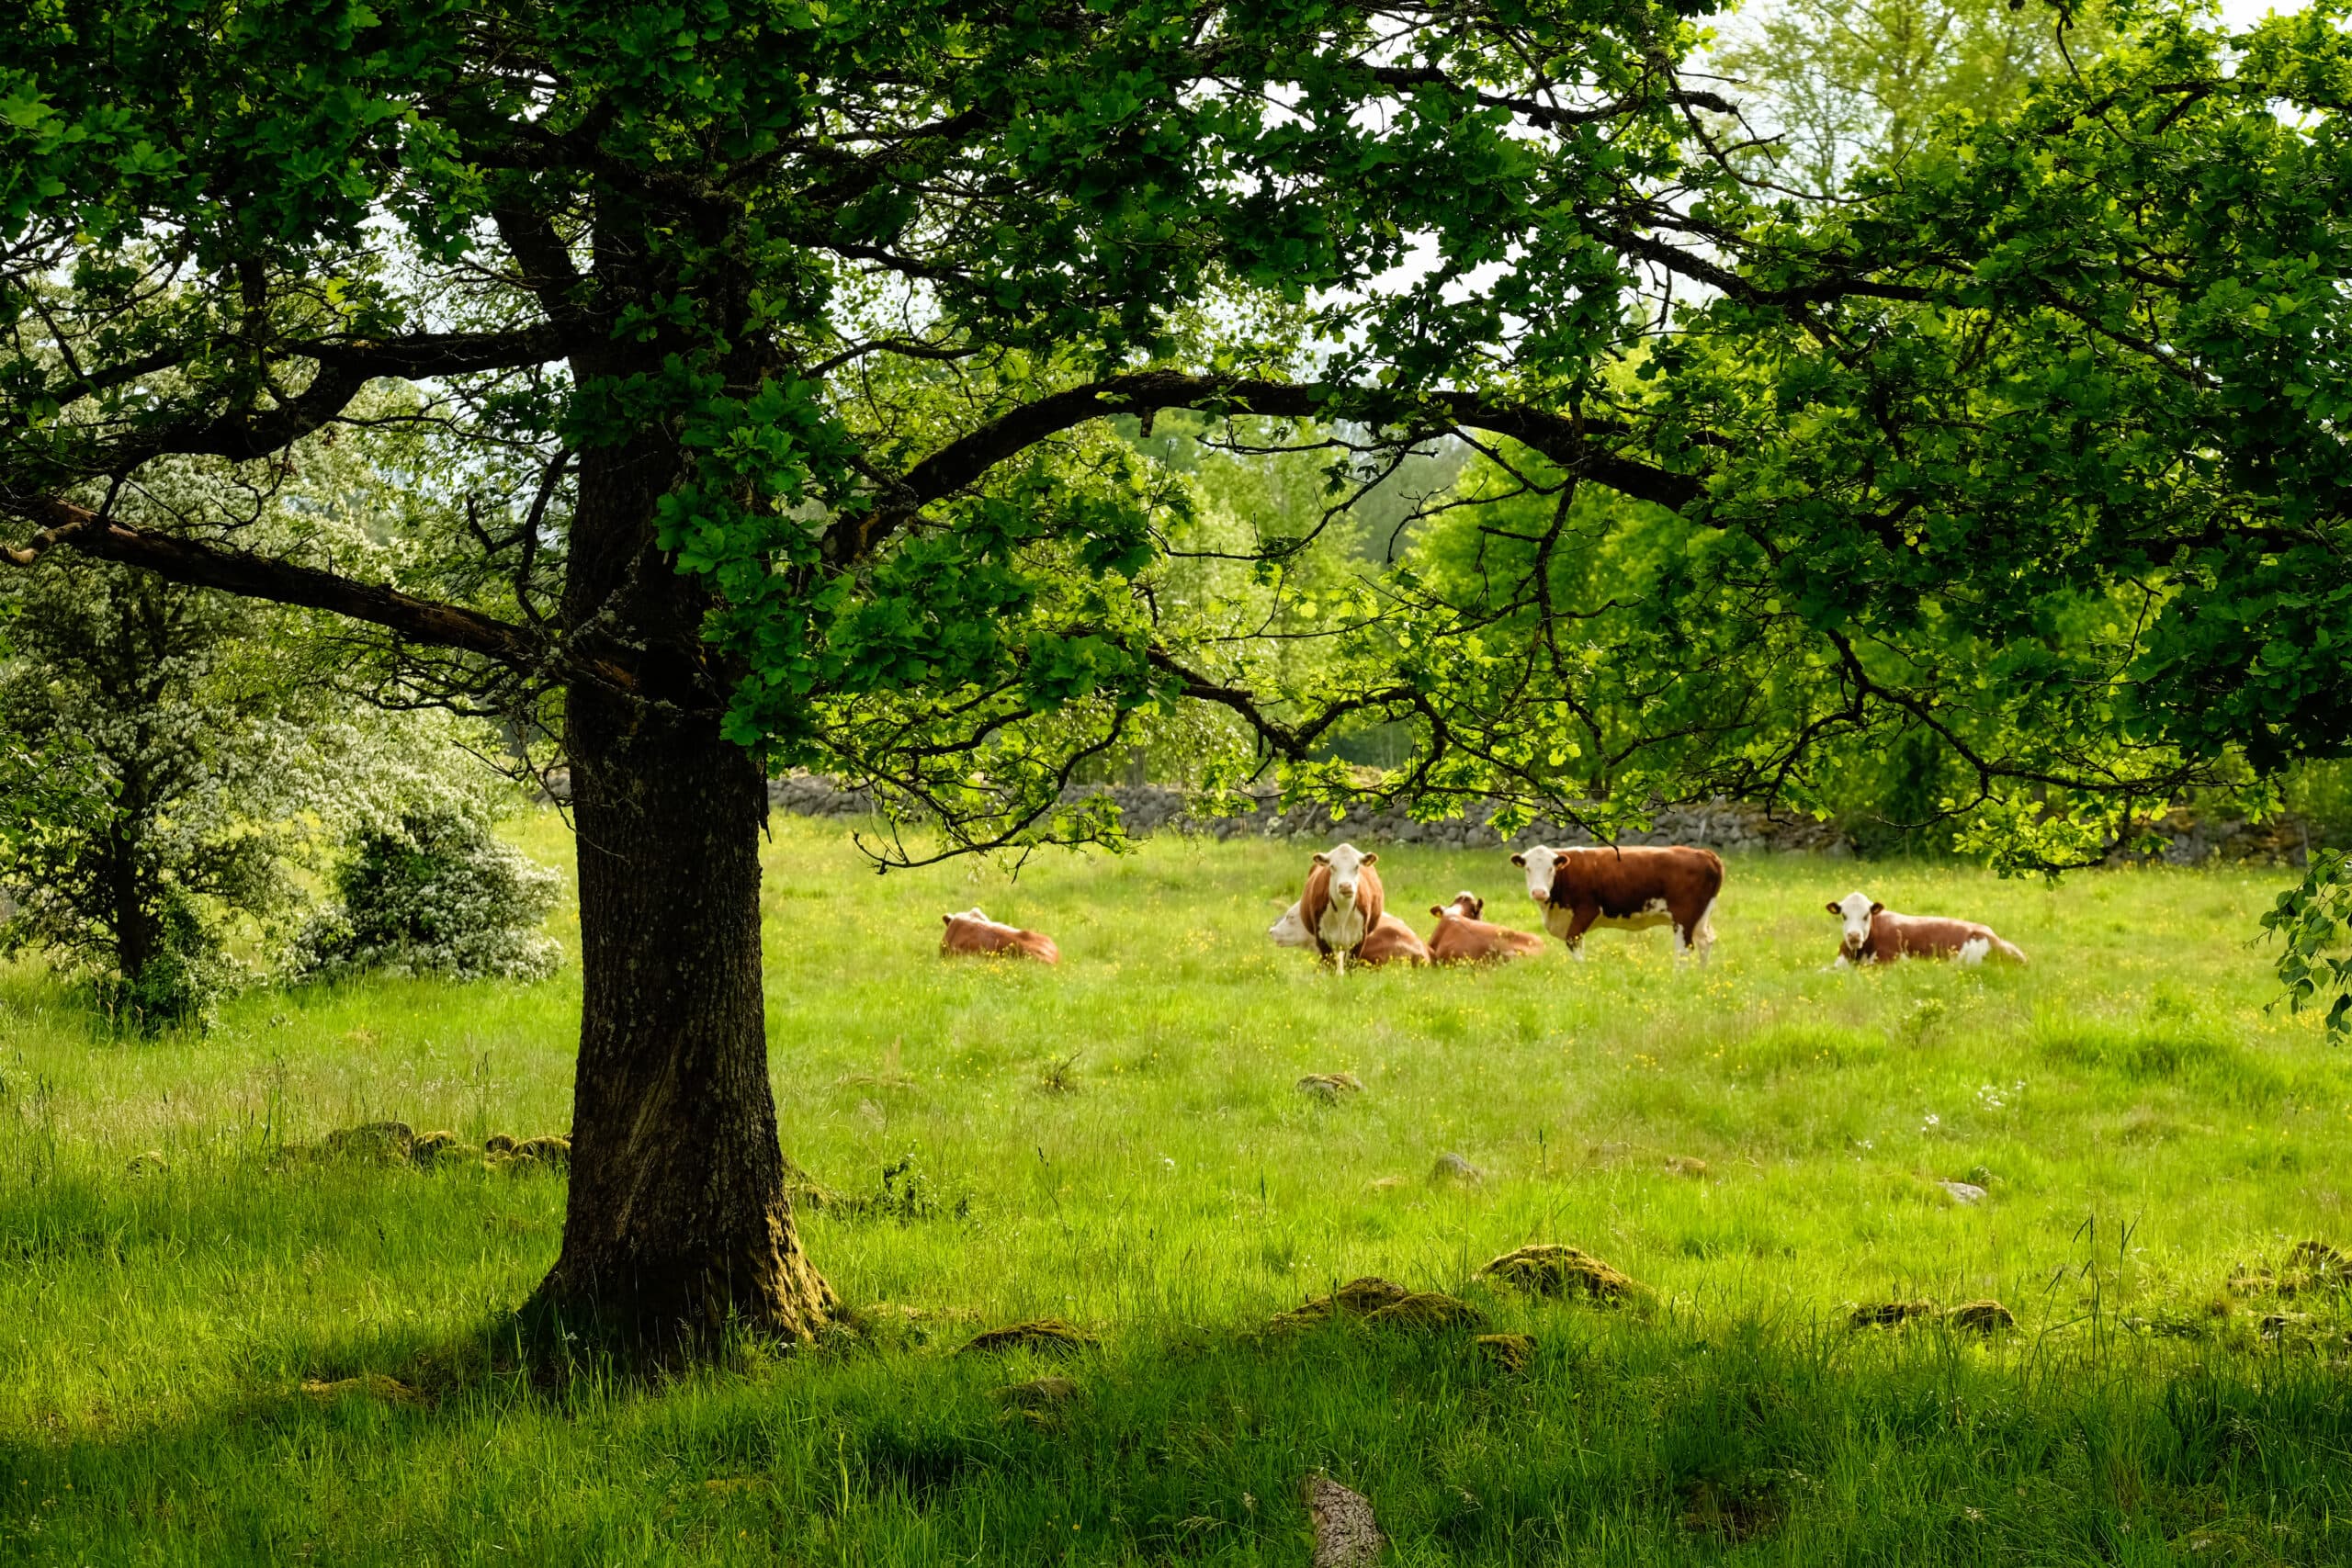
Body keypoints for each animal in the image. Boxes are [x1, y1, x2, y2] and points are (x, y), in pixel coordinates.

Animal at [1298, 841, 1383, 973]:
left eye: (1357, 866)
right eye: (1332, 866)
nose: (1345, 886)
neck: (1343, 911)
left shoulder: (1360, 938)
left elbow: (1351, 967)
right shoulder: (1322, 938)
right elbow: (1330, 966)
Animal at [1505, 841, 1731, 964]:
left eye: (1551, 868)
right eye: (1528, 868)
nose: (1539, 892)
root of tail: (1703, 853)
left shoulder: (1585, 911)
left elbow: (1574, 944)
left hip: (1684, 915)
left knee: (1684, 948)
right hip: (1701, 915)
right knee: (1705, 941)